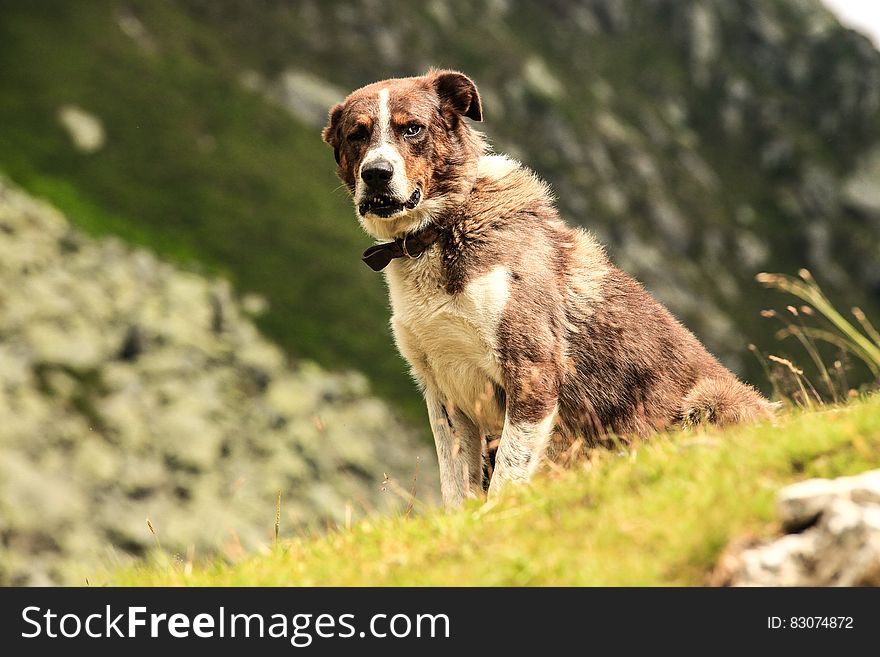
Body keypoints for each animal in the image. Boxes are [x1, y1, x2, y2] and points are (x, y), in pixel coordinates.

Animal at [322, 69, 768, 504]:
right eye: (357, 134)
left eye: (412, 128)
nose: (376, 174)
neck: (439, 232)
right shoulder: (444, 394)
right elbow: (457, 487)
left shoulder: (532, 371)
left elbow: (506, 477)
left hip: (711, 399)